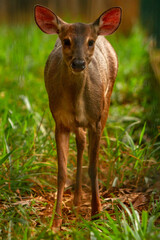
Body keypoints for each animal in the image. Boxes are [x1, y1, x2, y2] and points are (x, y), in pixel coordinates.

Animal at [33, 4, 121, 228]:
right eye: (66, 41)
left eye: (90, 42)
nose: (79, 63)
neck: (76, 102)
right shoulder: (59, 121)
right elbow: (61, 173)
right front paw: (55, 223)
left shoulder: (95, 120)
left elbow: (94, 167)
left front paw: (96, 214)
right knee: (80, 140)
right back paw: (77, 199)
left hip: (107, 100)